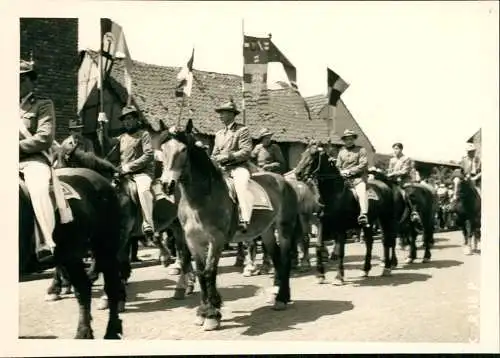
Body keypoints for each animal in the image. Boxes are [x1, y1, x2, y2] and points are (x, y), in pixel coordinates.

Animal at [160, 119, 300, 330]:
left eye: (183, 149)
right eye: (162, 149)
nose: (166, 185)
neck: (201, 198)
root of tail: (282, 179)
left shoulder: (216, 240)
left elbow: (209, 272)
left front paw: (212, 315)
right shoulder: (193, 241)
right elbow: (200, 273)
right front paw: (202, 312)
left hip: (284, 228)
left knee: (284, 259)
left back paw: (282, 298)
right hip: (267, 231)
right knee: (276, 258)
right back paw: (279, 296)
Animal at [294, 145, 396, 282]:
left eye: (313, 155)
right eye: (302, 155)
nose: (297, 173)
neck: (333, 194)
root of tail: (384, 185)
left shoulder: (341, 228)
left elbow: (340, 251)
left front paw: (338, 277)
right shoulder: (322, 225)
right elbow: (318, 246)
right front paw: (320, 275)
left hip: (385, 219)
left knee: (387, 240)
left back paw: (387, 268)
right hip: (369, 223)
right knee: (369, 243)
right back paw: (365, 270)